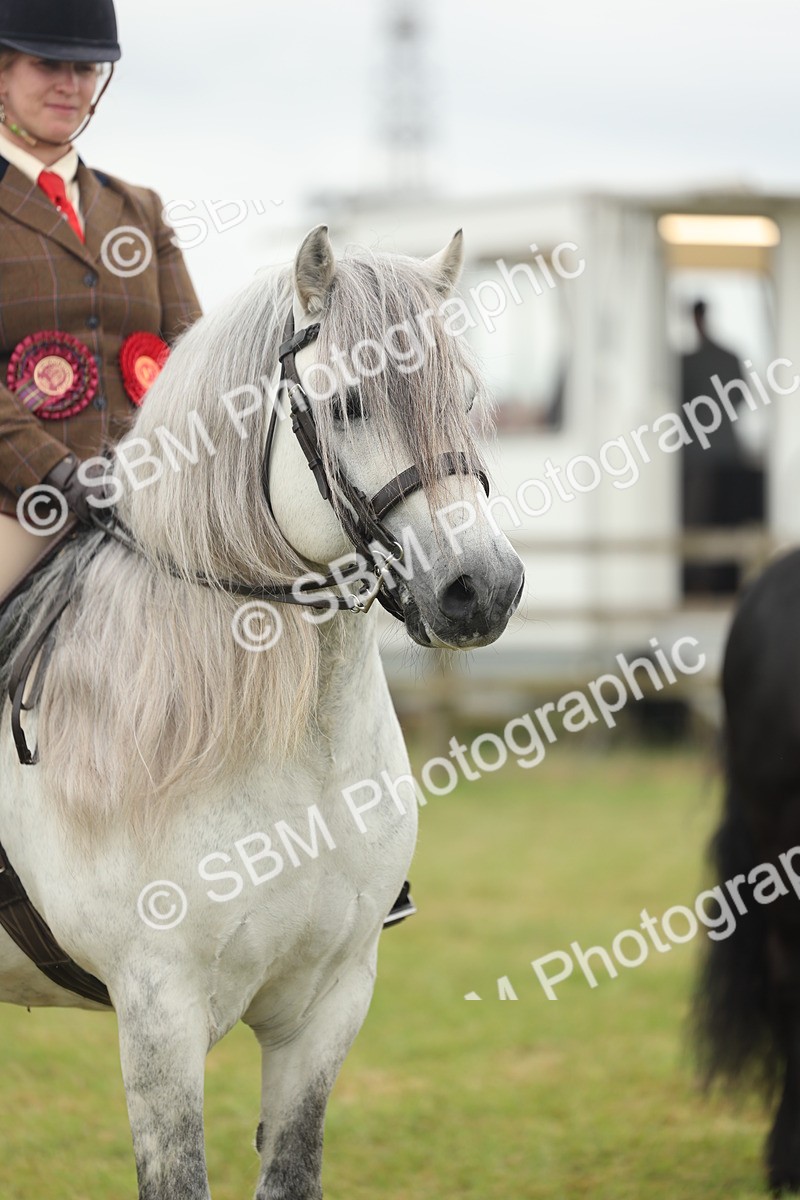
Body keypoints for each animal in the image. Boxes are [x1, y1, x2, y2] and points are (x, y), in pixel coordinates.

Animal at [0, 225, 524, 1200]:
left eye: (467, 399)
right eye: (349, 401)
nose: (484, 589)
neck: (300, 760)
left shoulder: (328, 1003)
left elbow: (292, 1170)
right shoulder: (159, 1014)